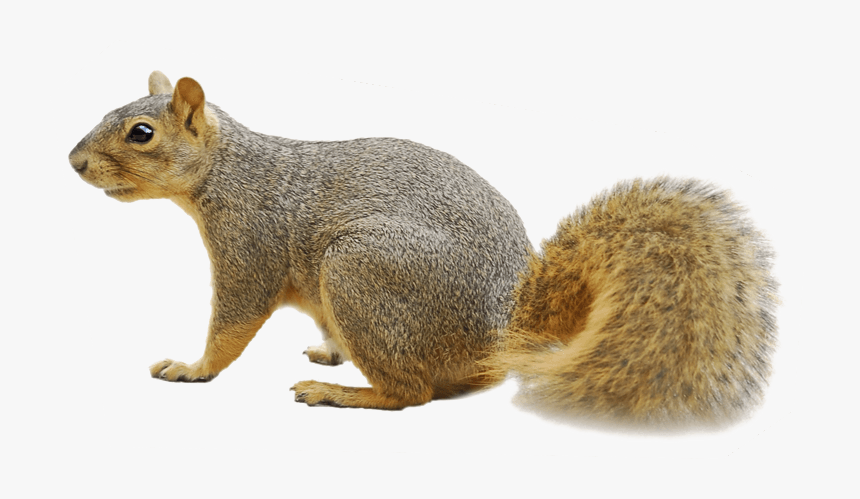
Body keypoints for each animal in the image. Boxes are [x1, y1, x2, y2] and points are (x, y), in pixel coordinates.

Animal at [69, 71, 778, 425]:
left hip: (360, 270)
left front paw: (193, 369)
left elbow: (233, 324)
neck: (227, 171)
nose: (73, 163)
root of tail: (507, 326)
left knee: (410, 394)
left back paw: (342, 395)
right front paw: (326, 348)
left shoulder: (252, 243)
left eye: (140, 133)